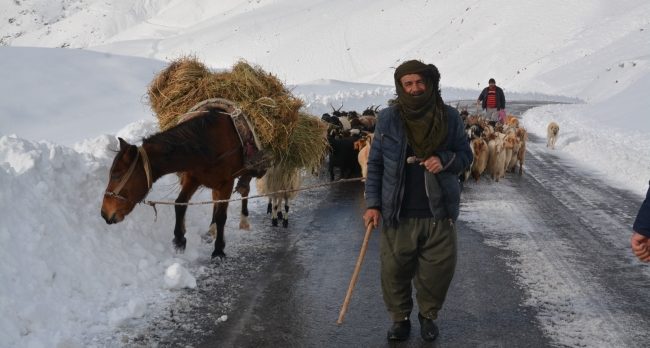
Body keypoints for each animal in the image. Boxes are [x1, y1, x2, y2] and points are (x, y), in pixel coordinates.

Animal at [100, 106, 262, 258]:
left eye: (117, 175)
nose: (104, 213)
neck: (209, 146)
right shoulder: (193, 178)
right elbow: (180, 204)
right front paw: (179, 240)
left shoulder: (226, 183)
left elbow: (222, 216)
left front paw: (218, 251)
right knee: (217, 199)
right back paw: (211, 230)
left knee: (245, 190)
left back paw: (247, 220)